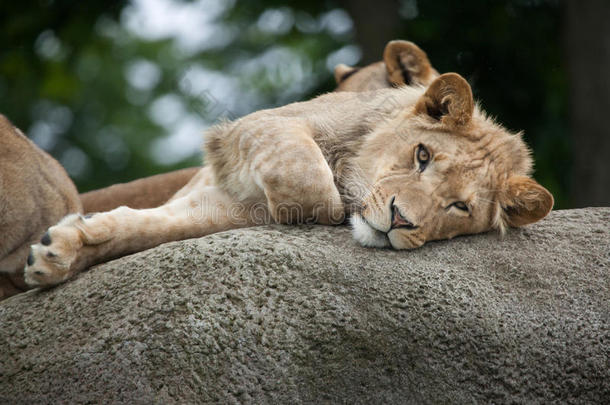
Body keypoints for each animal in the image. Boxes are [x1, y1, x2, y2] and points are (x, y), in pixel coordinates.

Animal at [23, 72, 552, 288]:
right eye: (422, 156)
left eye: (460, 207)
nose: (400, 219)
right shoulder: (257, 126)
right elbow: (310, 176)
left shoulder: (226, 208)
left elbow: (149, 228)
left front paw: (59, 250)